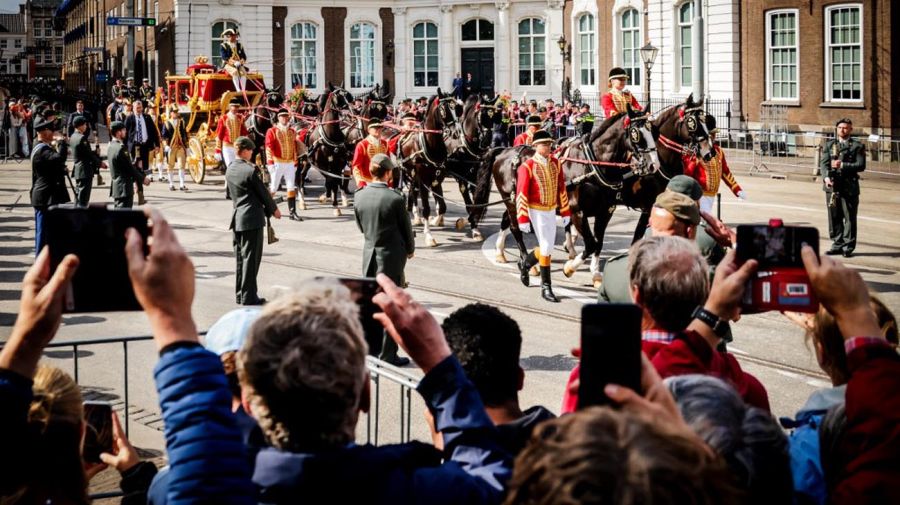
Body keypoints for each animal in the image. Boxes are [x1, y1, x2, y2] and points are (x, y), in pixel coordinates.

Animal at [398, 95, 446, 247]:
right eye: (443, 108)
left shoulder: (437, 180)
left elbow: (442, 206)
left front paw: (435, 220)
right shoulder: (423, 180)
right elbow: (426, 209)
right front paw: (429, 236)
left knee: (412, 192)